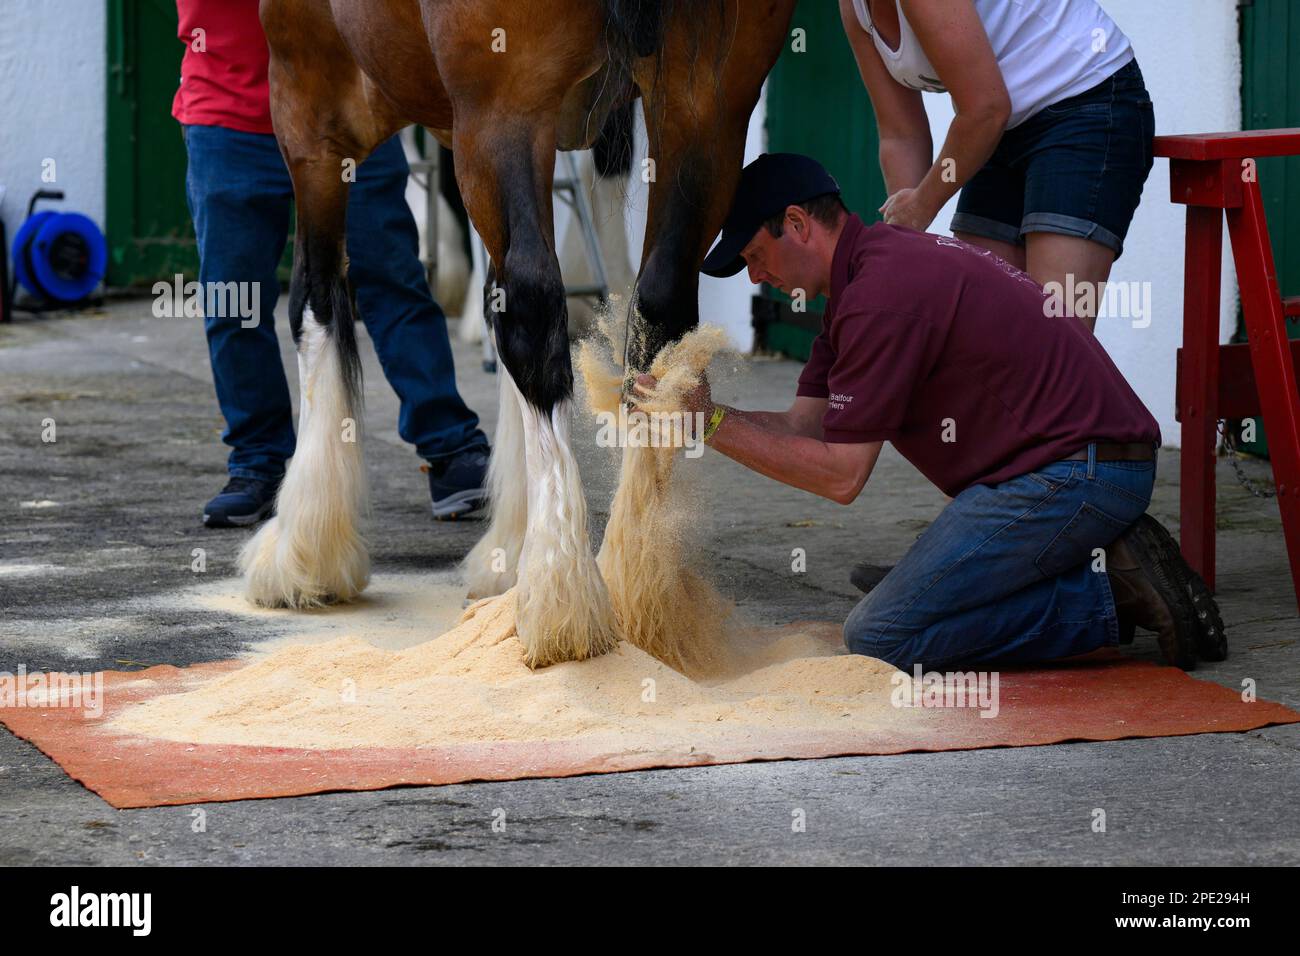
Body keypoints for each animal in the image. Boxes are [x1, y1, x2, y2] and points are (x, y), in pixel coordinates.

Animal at [239, 0, 795, 671]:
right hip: (707, 102)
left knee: (532, 308)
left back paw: (562, 599)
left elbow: (313, 305)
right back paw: (639, 581)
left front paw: (303, 553)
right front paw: (509, 550)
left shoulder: (308, 99)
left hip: (501, 105)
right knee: (658, 306)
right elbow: (495, 301)